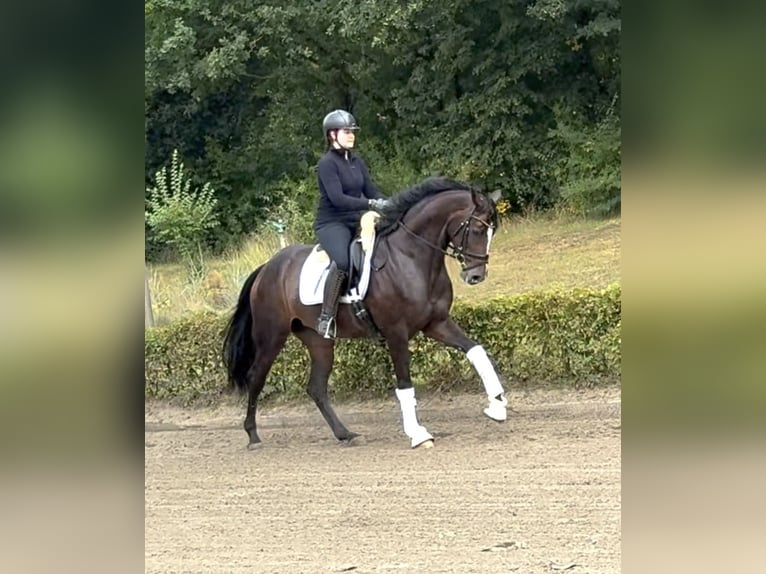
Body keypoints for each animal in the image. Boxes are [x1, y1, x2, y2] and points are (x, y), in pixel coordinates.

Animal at [222, 177, 508, 449]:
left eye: (492, 232)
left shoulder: (436, 323)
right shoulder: (396, 333)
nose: (476, 276)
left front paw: (497, 405)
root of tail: (268, 267)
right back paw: (253, 436)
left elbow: (476, 351)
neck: (411, 257)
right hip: (271, 336)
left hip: (318, 340)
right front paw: (418, 435)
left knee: (316, 387)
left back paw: (346, 435)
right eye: (478, 229)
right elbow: (404, 383)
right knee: (256, 378)